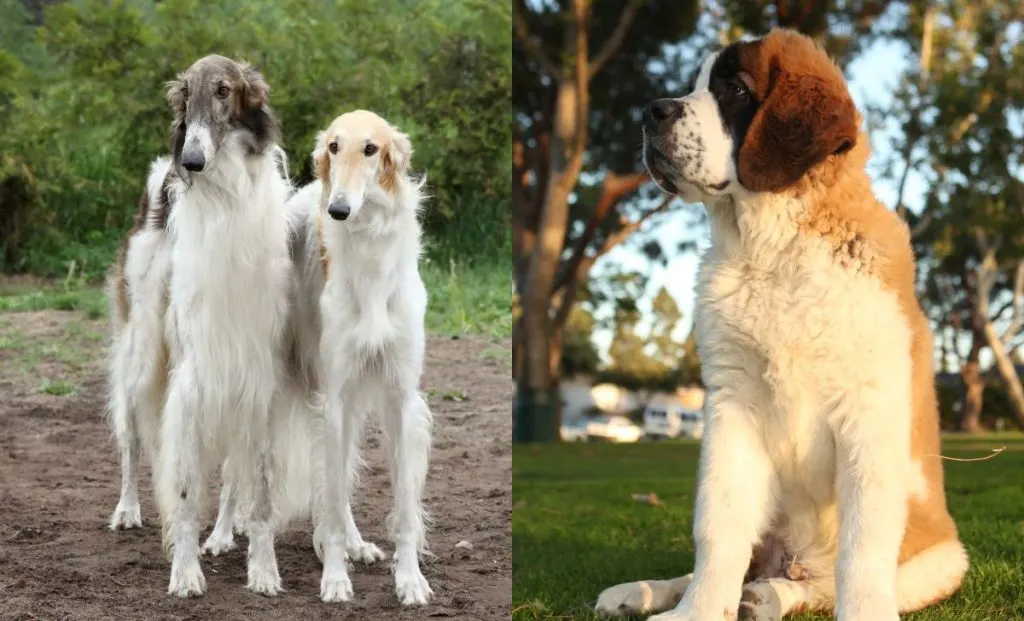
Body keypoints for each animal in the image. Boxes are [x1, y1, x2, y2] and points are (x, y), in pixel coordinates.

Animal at [593, 27, 966, 621]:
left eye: (736, 90)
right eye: (697, 84)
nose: (650, 112)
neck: (773, 248)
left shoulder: (869, 412)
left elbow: (863, 548)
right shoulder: (732, 406)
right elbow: (716, 526)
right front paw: (697, 610)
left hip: (943, 560)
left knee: (823, 583)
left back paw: (770, 595)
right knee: (742, 558)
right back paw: (648, 592)